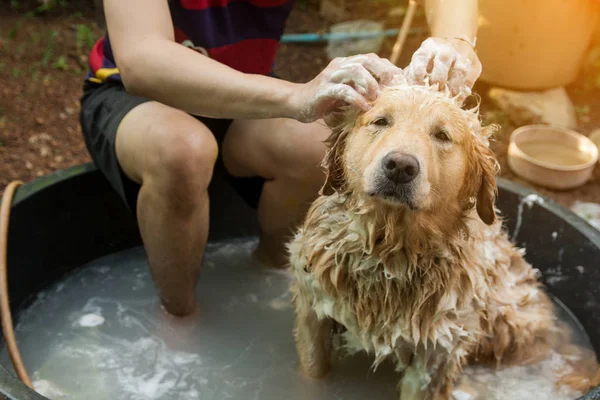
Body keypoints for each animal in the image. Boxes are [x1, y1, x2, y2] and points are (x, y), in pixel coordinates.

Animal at [288, 83, 596, 398]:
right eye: (381, 121)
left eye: (442, 135)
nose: (400, 166)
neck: (388, 252)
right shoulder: (312, 309)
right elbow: (313, 369)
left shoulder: (436, 353)